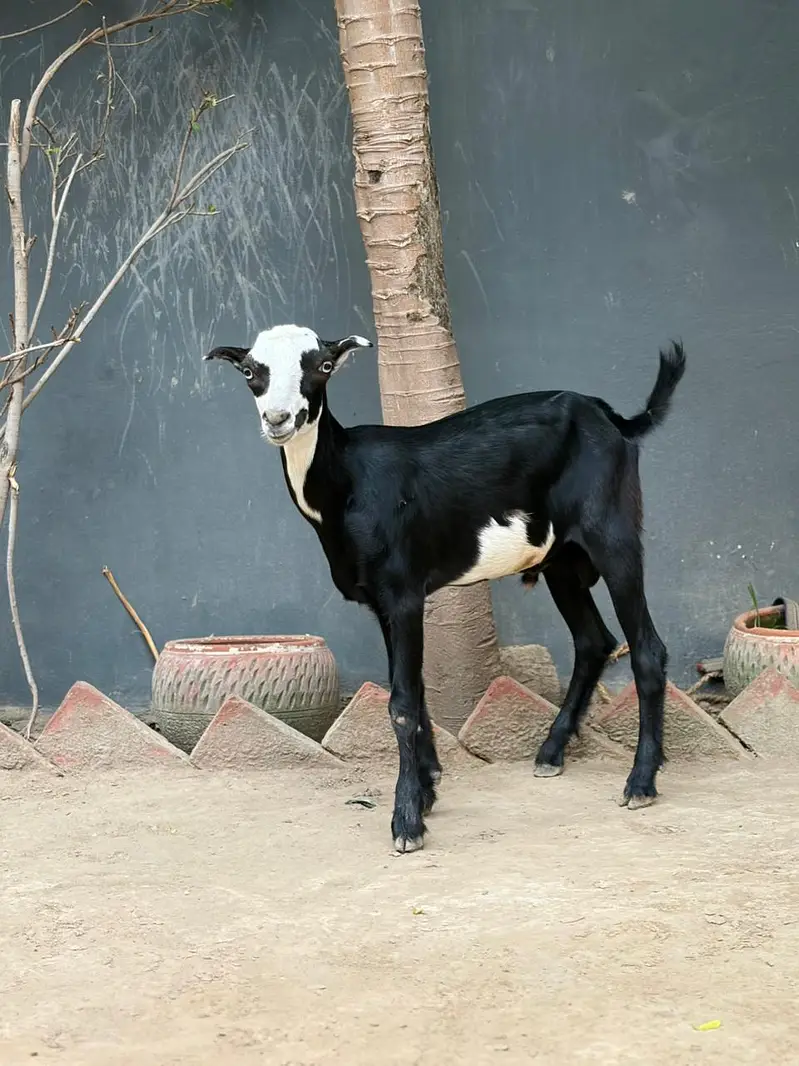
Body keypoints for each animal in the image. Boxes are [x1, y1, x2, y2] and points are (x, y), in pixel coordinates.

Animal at [205, 325, 686, 853]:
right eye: (250, 372)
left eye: (323, 366)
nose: (278, 419)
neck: (348, 483)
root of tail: (613, 418)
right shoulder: (381, 602)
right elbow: (413, 691)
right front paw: (428, 787)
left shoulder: (403, 592)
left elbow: (401, 703)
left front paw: (407, 820)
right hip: (560, 558)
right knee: (593, 640)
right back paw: (551, 751)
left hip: (612, 533)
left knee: (647, 649)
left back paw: (640, 782)